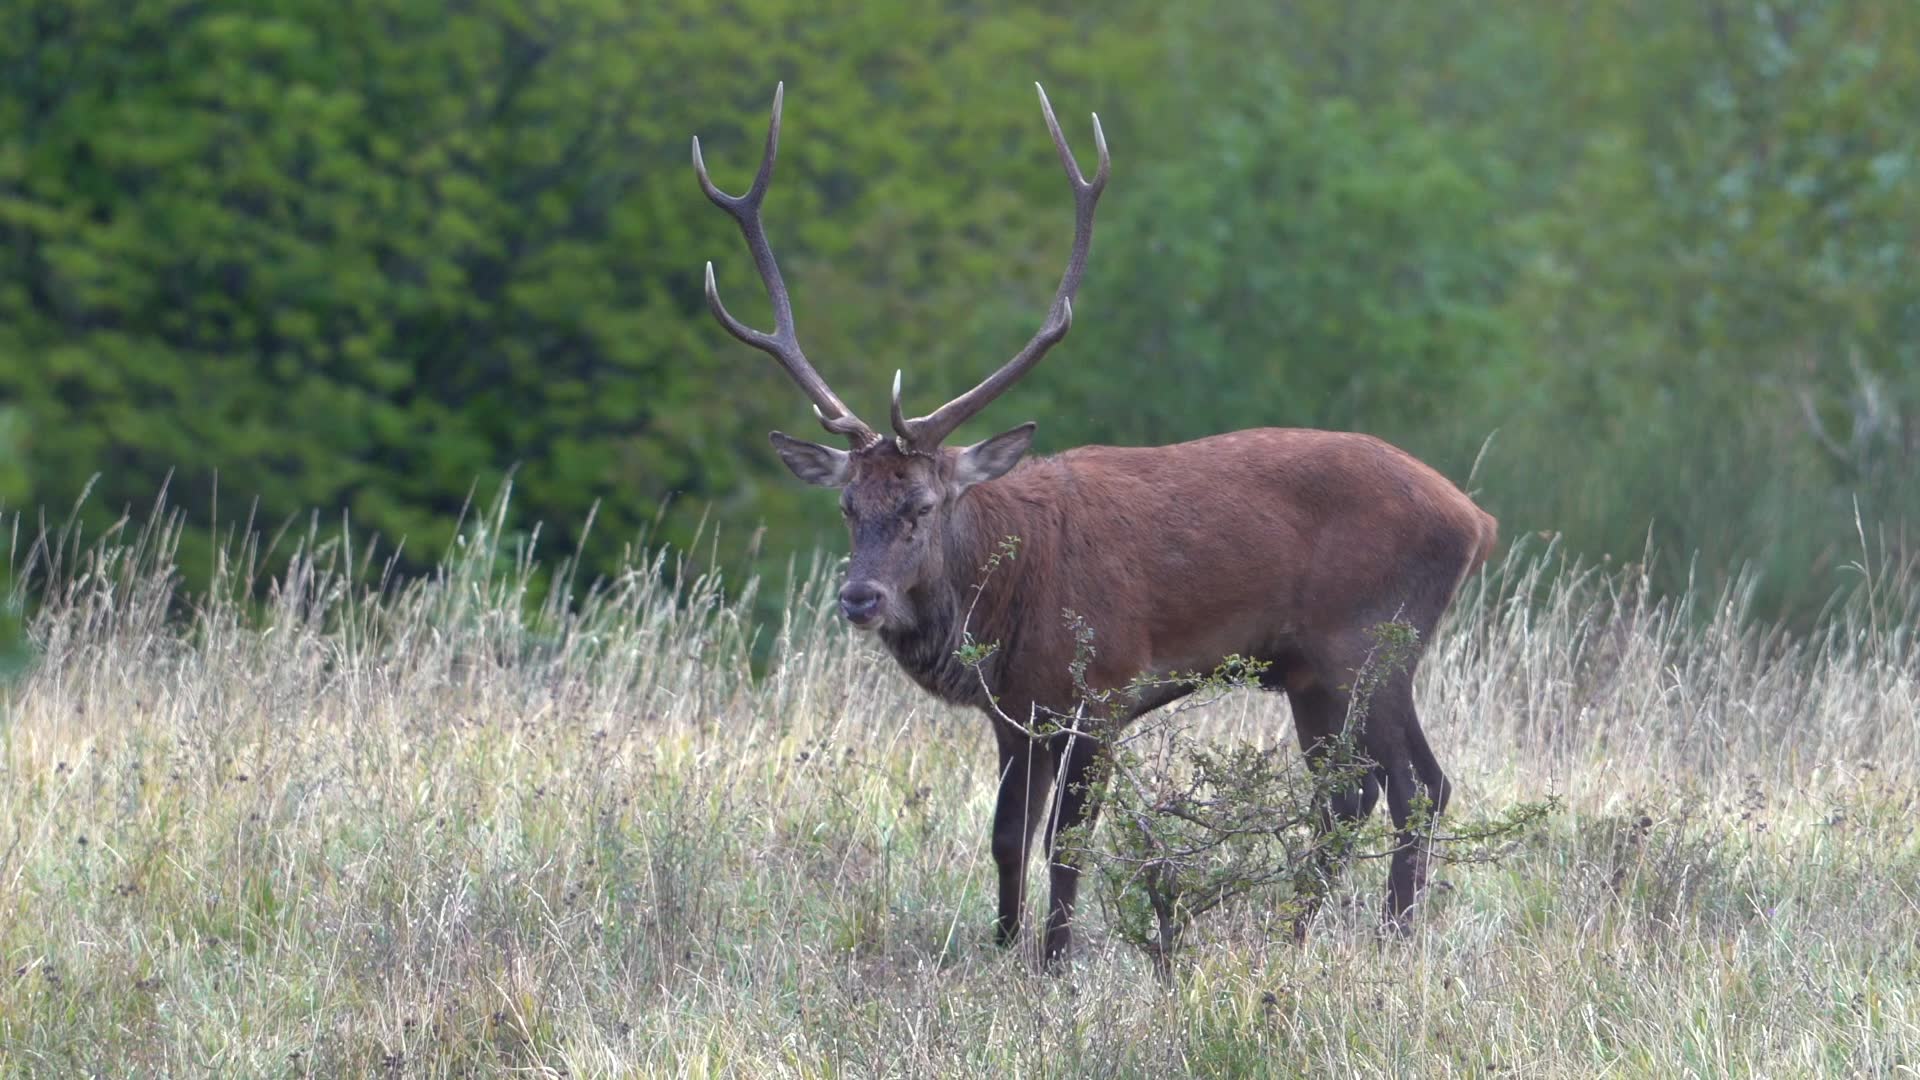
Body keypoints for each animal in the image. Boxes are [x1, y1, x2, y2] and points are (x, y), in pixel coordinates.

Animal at [692, 83, 1499, 964]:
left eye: (922, 507)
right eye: (847, 507)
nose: (860, 598)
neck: (1005, 603)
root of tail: (1476, 518)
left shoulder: (1102, 690)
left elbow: (1068, 842)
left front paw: (1054, 962)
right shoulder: (1017, 715)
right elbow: (1007, 836)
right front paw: (1003, 949)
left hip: (1374, 640)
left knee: (1416, 785)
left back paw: (1392, 939)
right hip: (1310, 670)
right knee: (1349, 794)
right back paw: (1294, 937)